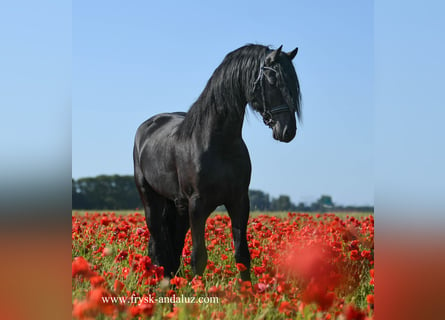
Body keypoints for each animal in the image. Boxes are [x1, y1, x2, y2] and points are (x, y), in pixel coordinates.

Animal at [132, 44, 298, 280]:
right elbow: (199, 257)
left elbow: (242, 255)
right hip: (151, 199)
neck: (218, 142)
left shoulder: (239, 201)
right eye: (273, 80)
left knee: (173, 245)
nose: (287, 130)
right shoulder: (197, 205)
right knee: (157, 243)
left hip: (178, 207)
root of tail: (147, 126)